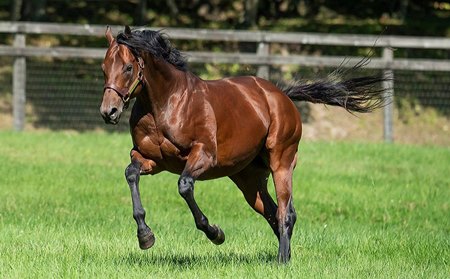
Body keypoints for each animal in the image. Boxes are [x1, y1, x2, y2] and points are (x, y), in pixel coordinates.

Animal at [100, 25, 388, 264]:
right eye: (104, 68)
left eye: (128, 68)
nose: (109, 112)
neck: (167, 103)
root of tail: (281, 95)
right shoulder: (151, 159)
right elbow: (131, 174)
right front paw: (145, 236)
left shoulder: (203, 156)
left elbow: (184, 186)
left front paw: (215, 233)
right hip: (249, 179)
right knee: (272, 211)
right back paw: (285, 255)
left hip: (281, 163)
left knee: (285, 213)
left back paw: (281, 261)